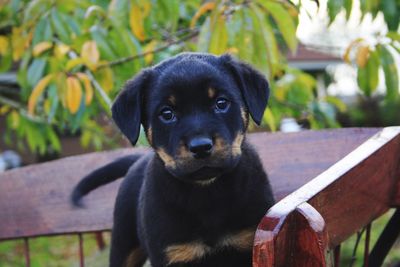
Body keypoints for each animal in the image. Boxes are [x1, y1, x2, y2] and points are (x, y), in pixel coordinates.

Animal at [72, 52, 276, 267]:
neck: (207, 193)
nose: (200, 146)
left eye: (221, 103)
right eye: (167, 113)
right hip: (123, 246)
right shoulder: (172, 253)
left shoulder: (247, 240)